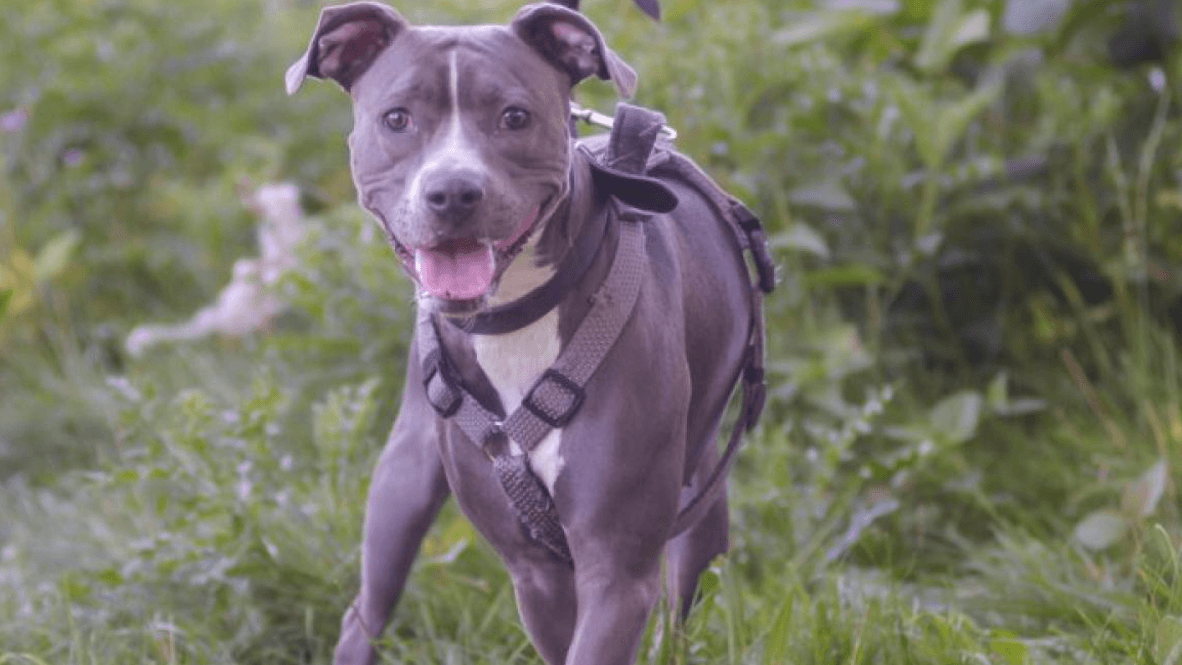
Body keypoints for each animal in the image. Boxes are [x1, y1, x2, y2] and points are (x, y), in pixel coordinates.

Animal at [286, 2, 765, 661]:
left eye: (514, 116)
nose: (453, 191)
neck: (514, 318)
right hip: (401, 481)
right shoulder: (536, 574)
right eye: (397, 118)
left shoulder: (617, 571)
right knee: (366, 610)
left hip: (701, 500)